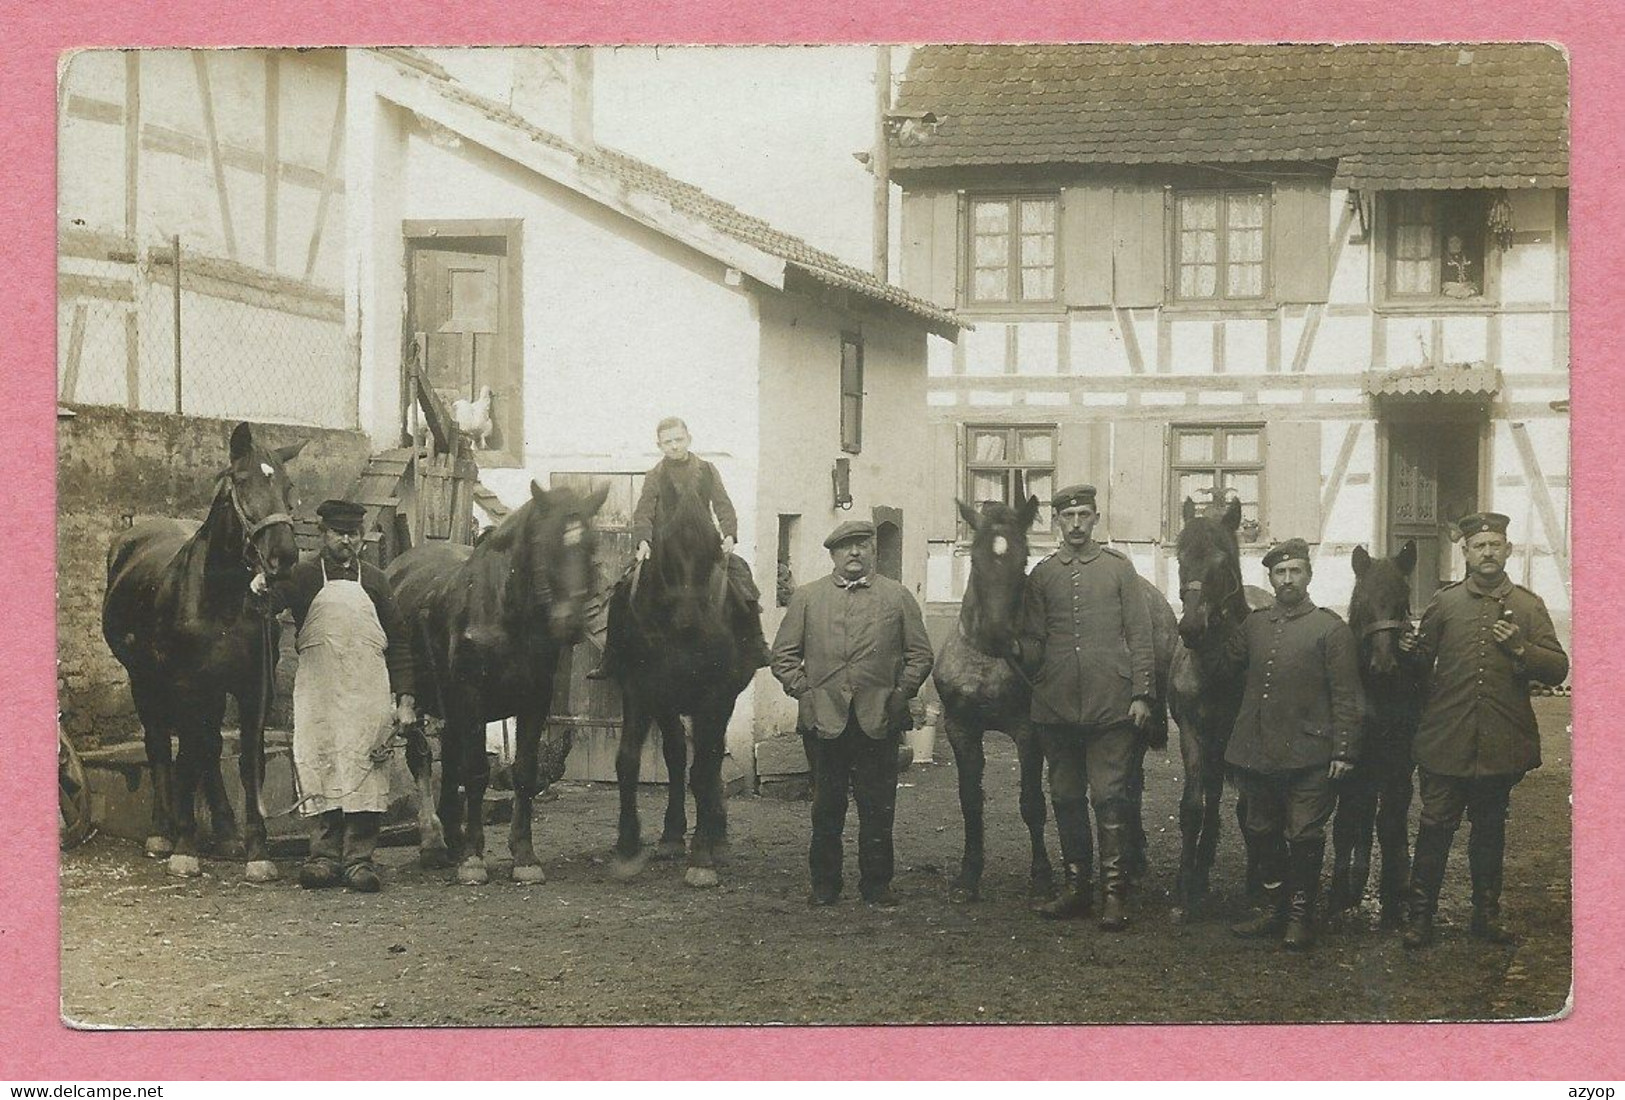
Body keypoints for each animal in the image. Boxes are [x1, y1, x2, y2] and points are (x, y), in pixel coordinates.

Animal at [102, 419, 307, 877]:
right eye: (243, 481)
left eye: (288, 485)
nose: (283, 556)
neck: (221, 598)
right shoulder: (185, 686)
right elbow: (187, 756)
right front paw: (184, 848)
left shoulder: (251, 690)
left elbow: (247, 762)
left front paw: (257, 853)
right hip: (144, 680)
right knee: (161, 745)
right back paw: (161, 833)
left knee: (211, 748)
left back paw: (227, 834)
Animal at [386, 480, 611, 883]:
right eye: (542, 542)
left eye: (589, 546)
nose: (570, 623)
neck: (506, 615)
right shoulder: (471, 698)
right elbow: (476, 773)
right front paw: (474, 859)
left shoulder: (534, 700)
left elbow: (523, 772)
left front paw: (524, 855)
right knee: (422, 760)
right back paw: (435, 842)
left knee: (448, 758)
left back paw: (452, 838)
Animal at [611, 477, 754, 883]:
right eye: (667, 548)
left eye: (713, 546)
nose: (689, 619)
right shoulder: (640, 692)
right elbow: (628, 760)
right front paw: (627, 847)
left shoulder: (713, 698)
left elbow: (704, 770)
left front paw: (702, 857)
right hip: (667, 703)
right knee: (676, 756)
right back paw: (672, 836)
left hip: (721, 703)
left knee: (710, 761)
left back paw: (716, 840)